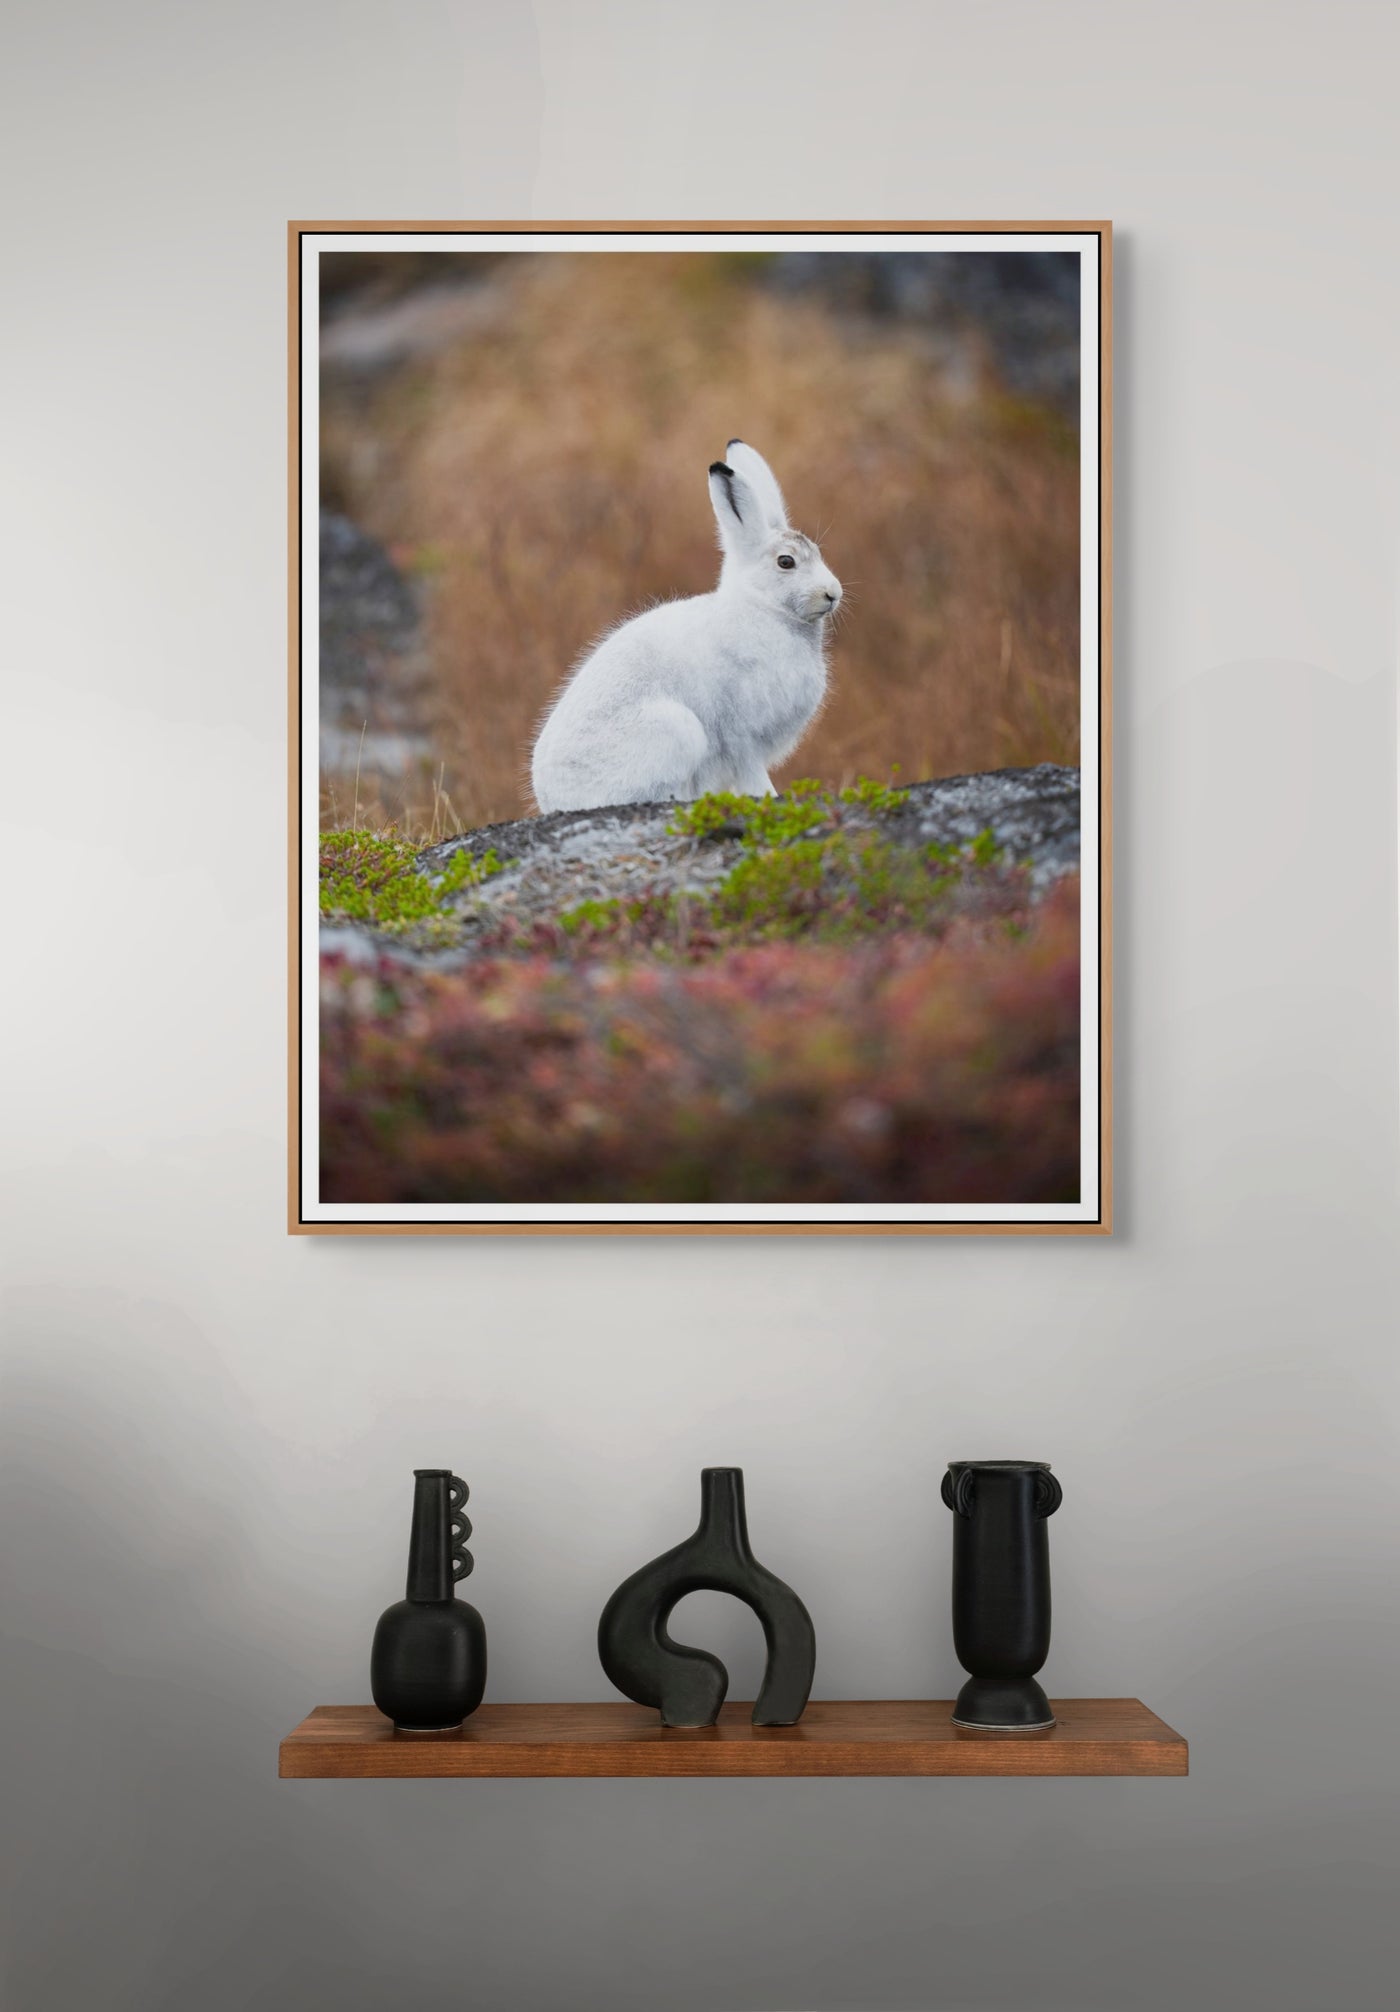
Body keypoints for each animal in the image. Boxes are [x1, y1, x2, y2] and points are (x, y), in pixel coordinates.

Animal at [530, 440, 841, 813]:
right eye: (786, 562)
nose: (833, 593)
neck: (763, 607)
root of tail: (554, 802)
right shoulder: (742, 735)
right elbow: (752, 775)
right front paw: (770, 797)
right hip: (677, 729)